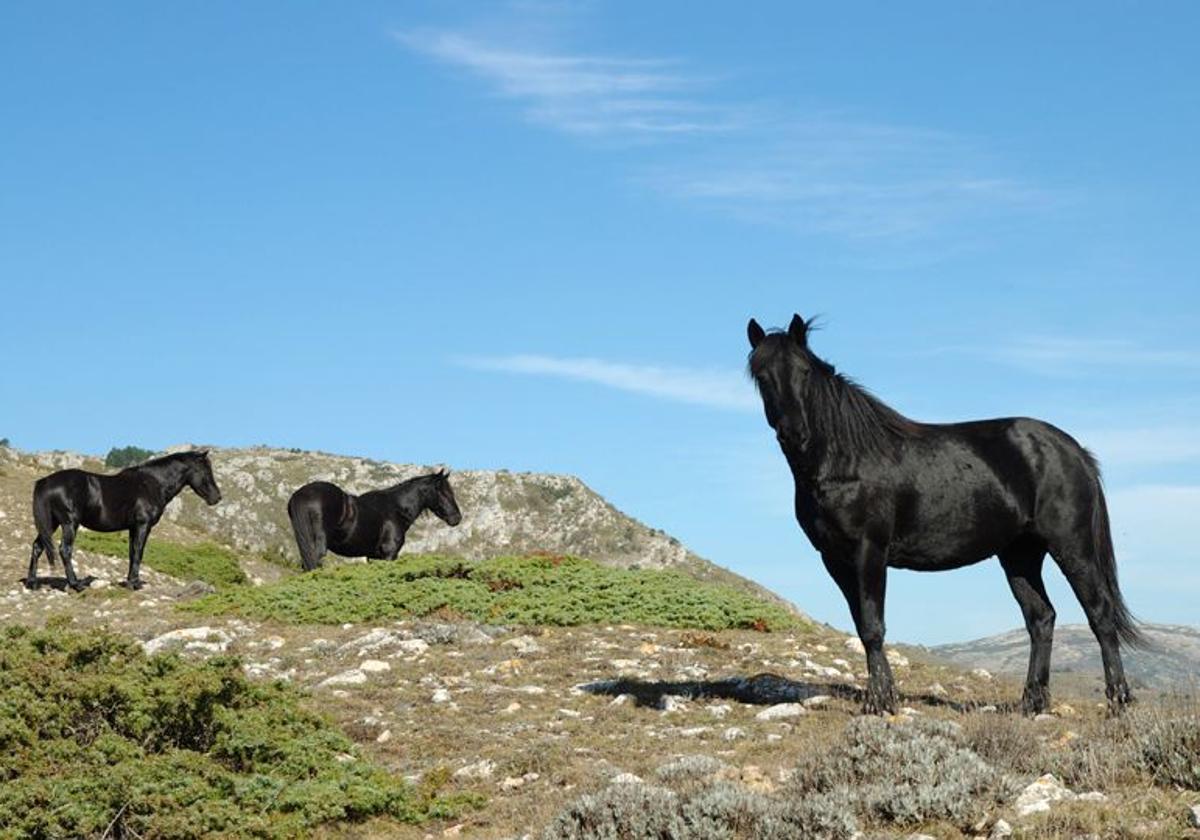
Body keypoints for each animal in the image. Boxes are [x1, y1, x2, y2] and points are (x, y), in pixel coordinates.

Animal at [27, 453, 222, 590]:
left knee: (37, 546)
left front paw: (129, 581)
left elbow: (131, 552)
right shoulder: (143, 525)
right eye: (204, 470)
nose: (217, 497)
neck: (151, 483)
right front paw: (134, 583)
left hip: (51, 524)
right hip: (69, 524)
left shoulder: (132, 528)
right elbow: (139, 552)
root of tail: (46, 481)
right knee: (65, 550)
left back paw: (32, 583)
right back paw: (76, 584)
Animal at [285, 465, 463, 571]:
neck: (396, 507)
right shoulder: (390, 554)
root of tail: (302, 494)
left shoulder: (372, 557)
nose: (457, 518)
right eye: (443, 492)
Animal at [744, 314, 1147, 715]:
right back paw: (1032, 703)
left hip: (1072, 548)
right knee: (1041, 619)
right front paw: (883, 697)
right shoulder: (834, 559)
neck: (846, 460)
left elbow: (873, 626)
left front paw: (880, 703)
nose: (794, 433)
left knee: (1100, 616)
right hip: (1020, 555)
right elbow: (863, 627)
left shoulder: (869, 550)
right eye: (762, 376)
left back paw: (1118, 702)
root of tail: (1075, 451)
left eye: (804, 371)